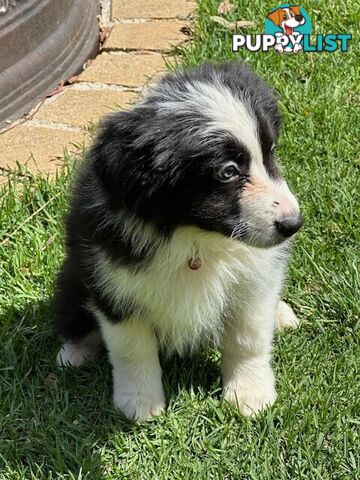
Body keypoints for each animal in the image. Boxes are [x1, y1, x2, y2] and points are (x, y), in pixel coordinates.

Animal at [54, 62, 302, 422]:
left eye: (270, 151)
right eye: (227, 171)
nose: (293, 224)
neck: (194, 236)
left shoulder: (255, 278)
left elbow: (248, 338)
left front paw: (250, 395)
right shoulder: (114, 281)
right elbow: (131, 348)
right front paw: (140, 403)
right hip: (75, 276)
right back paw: (75, 351)